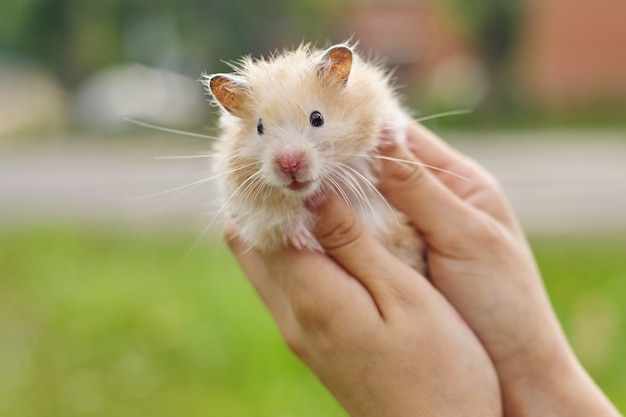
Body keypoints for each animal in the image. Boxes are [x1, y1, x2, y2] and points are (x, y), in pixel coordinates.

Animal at [202, 43, 426, 272]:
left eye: (317, 118)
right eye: (259, 127)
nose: (289, 164)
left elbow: (392, 126)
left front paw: (384, 134)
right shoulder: (248, 210)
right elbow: (274, 220)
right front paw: (301, 239)